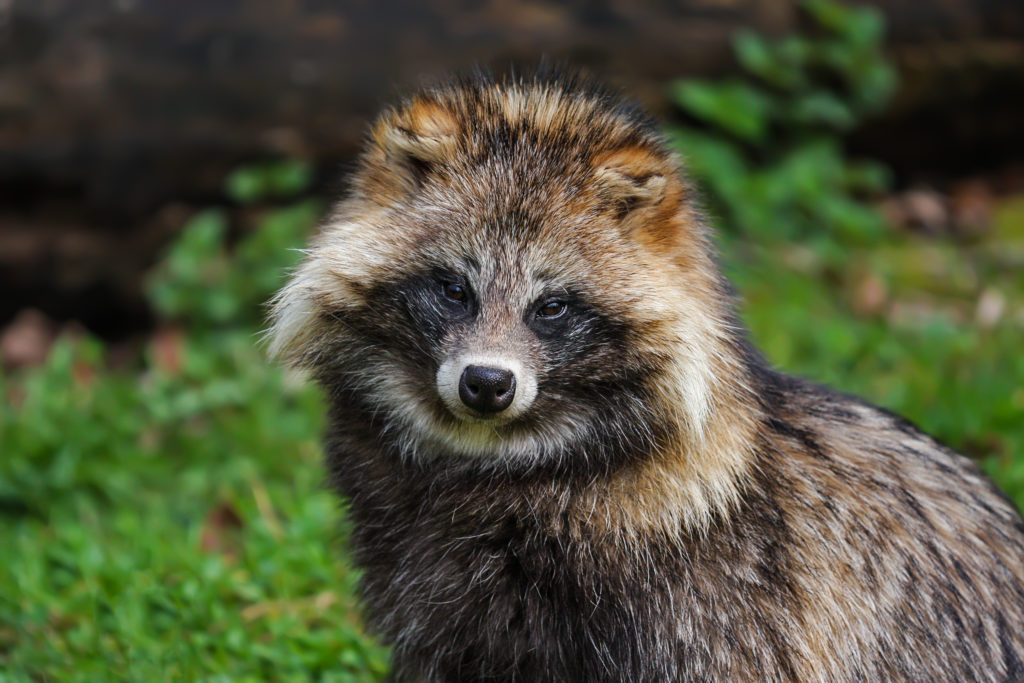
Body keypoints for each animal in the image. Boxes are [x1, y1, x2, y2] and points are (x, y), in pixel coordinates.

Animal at [270, 72, 1024, 679]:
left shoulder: (716, 620)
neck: (503, 471)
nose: (487, 383)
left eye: (551, 306)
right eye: (455, 289)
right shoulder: (438, 613)